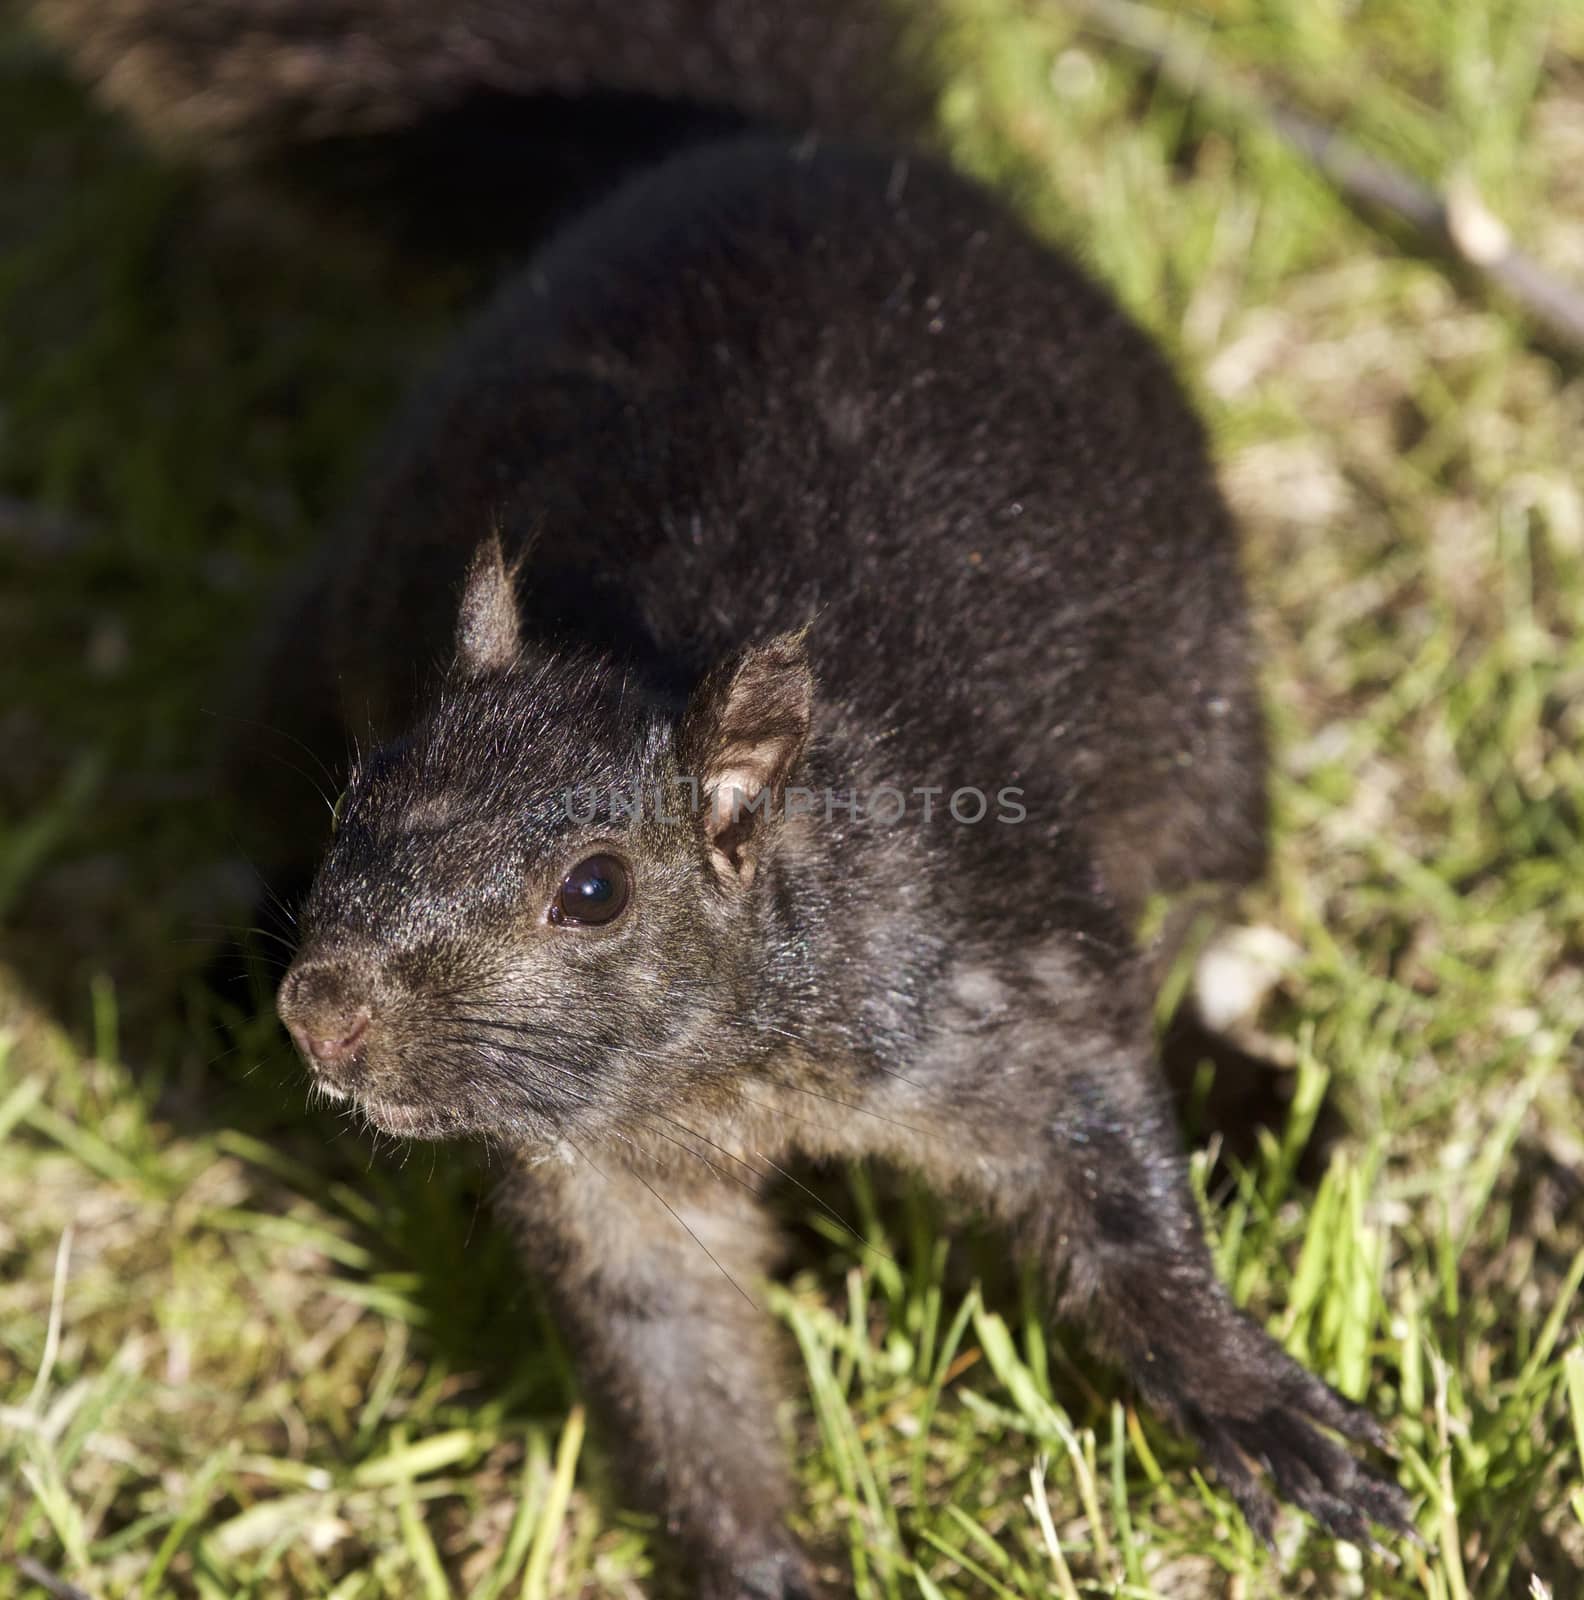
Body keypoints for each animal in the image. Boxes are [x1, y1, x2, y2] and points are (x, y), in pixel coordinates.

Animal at [40, 6, 1414, 1593]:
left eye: (594, 889)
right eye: (362, 798)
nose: (324, 1014)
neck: (721, 1071)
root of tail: (781, 144)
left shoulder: (1001, 980)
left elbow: (1110, 1184)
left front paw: (1250, 1401)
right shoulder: (605, 1185)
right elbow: (676, 1372)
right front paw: (754, 1562)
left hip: (1206, 758)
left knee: (1193, 931)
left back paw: (1250, 1104)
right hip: (307, 650)